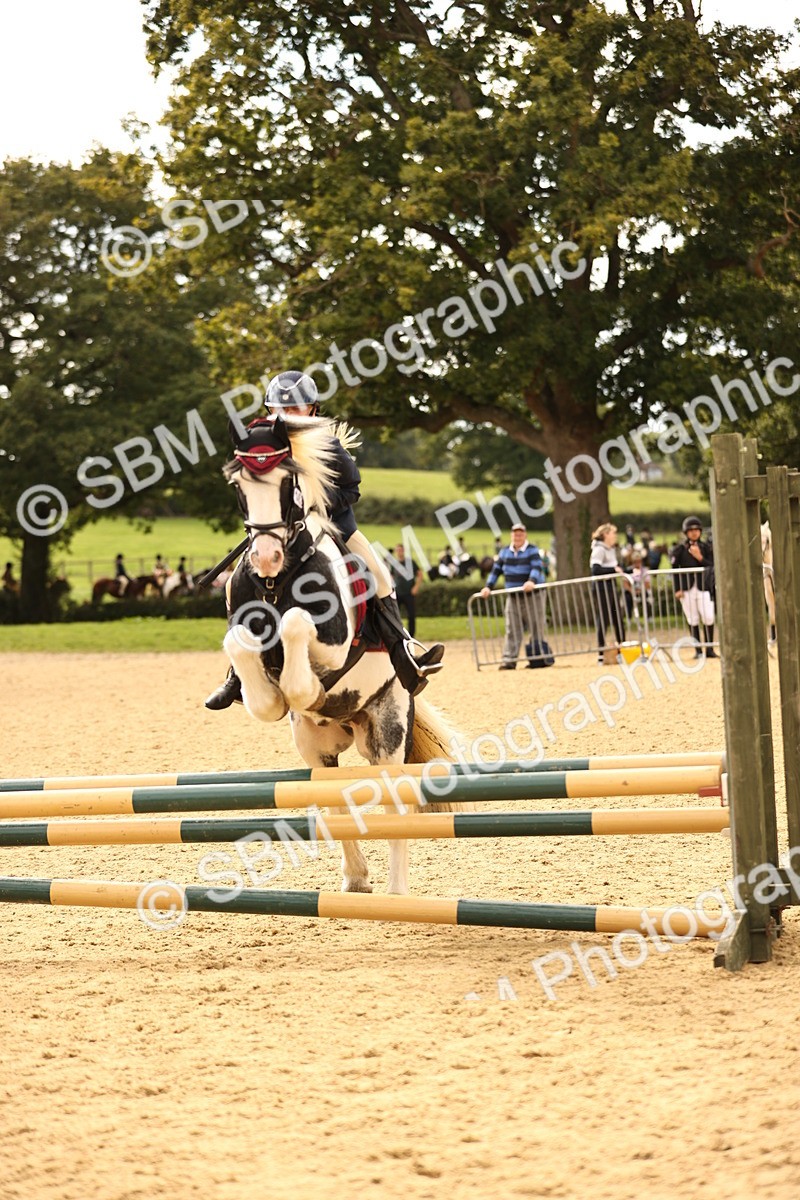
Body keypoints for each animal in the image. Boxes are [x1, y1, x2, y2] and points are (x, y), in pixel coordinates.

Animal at [220, 412, 457, 895]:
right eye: (238, 485)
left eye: (287, 481)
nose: (266, 557)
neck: (278, 581)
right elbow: (247, 659)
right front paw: (274, 695)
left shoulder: (331, 647)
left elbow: (295, 628)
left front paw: (301, 689)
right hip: (316, 748)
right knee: (334, 801)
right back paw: (356, 879)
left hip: (387, 733)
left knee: (395, 810)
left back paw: (395, 892)